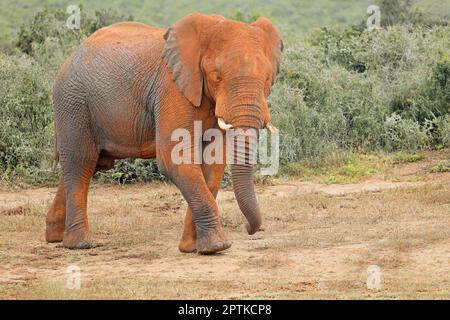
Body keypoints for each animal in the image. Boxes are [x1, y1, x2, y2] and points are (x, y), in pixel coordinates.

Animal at [45, 13, 284, 255]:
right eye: (217, 77)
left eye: (268, 79)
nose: (249, 228)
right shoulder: (171, 89)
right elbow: (174, 158)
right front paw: (216, 247)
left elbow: (213, 162)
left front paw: (192, 247)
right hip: (73, 102)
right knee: (81, 162)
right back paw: (82, 244)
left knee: (90, 165)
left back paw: (55, 236)